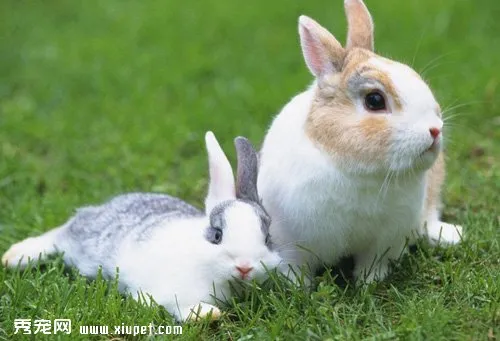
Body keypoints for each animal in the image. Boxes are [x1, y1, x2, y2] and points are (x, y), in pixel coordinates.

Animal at [0, 131, 282, 322]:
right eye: (216, 235)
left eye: (268, 239)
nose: (244, 267)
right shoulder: (169, 291)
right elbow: (178, 304)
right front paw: (207, 314)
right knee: (57, 236)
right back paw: (15, 257)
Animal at [256, 0, 462, 282]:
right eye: (374, 100)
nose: (434, 130)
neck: (361, 172)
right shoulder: (291, 242)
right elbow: (296, 270)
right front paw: (299, 287)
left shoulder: (385, 240)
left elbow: (373, 265)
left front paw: (369, 283)